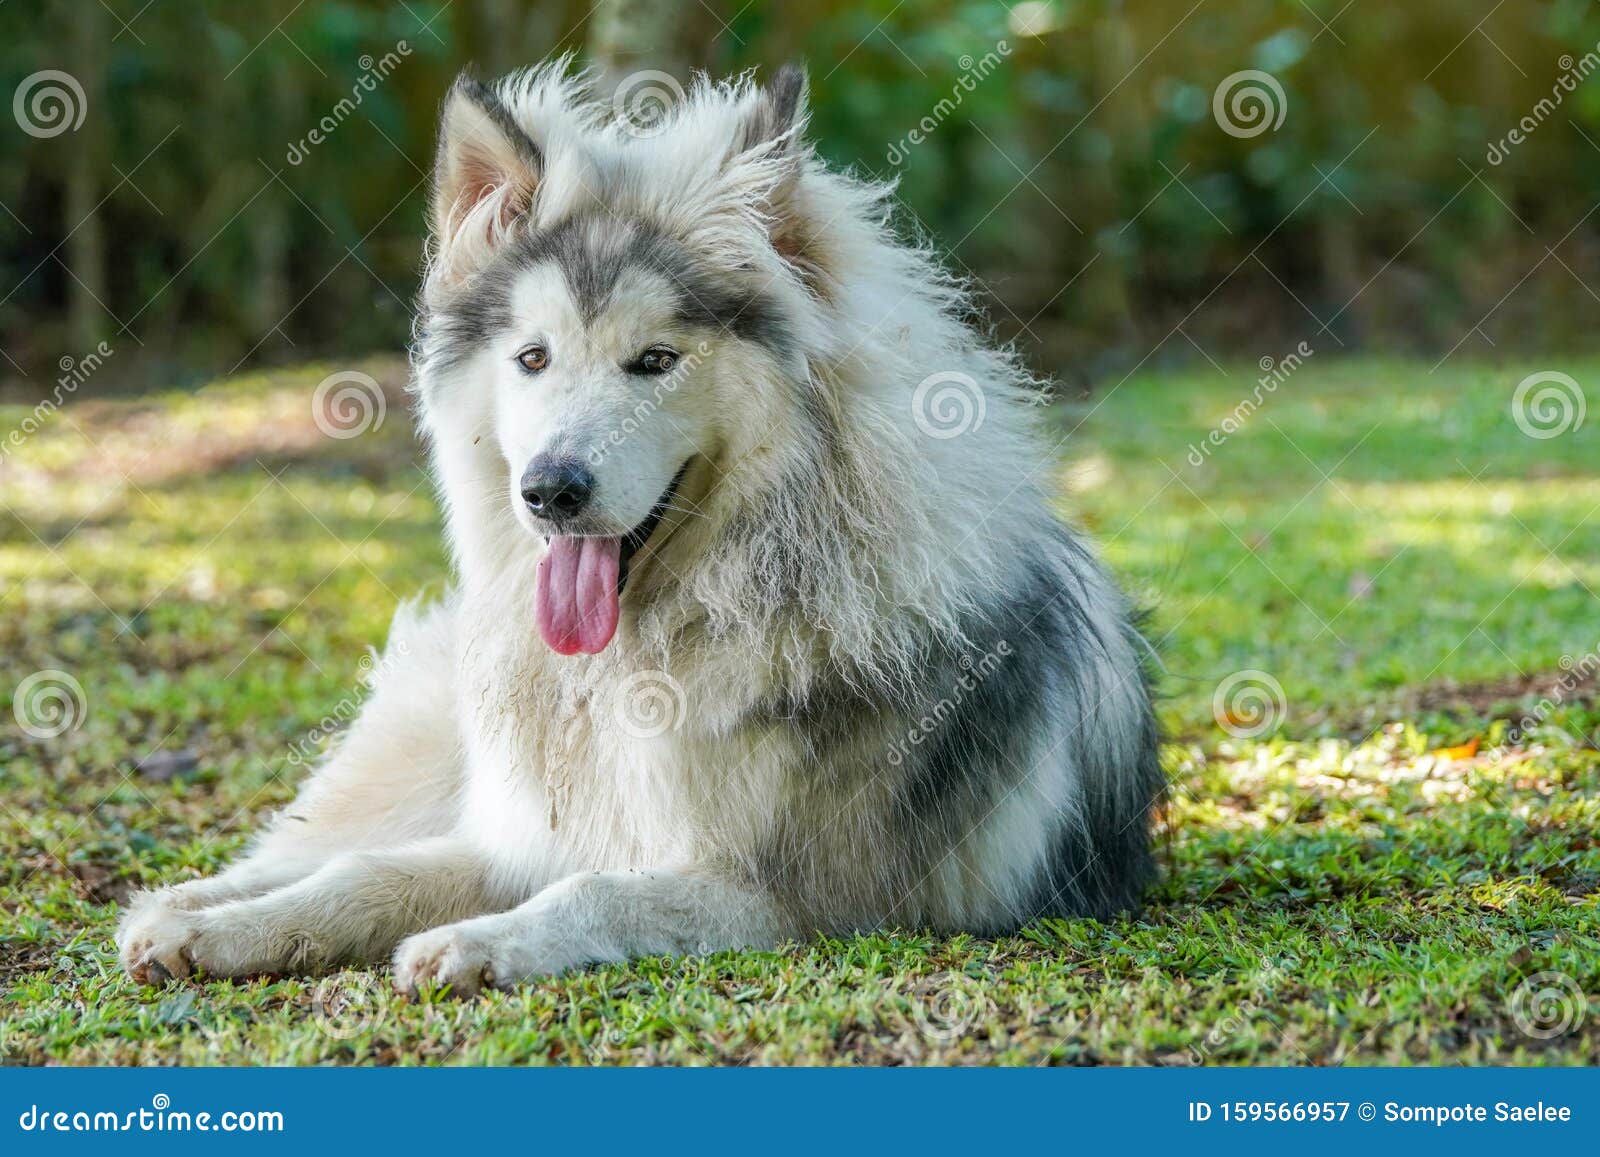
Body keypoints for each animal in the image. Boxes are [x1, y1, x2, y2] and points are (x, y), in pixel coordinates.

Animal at [116, 61, 1164, 998]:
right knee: (329, 838)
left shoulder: (788, 897)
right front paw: (238, 927)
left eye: (655, 360)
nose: (551, 490)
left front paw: (477, 943)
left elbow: (591, 892)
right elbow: (370, 875)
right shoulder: (531, 831)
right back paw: (193, 903)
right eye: (533, 358)